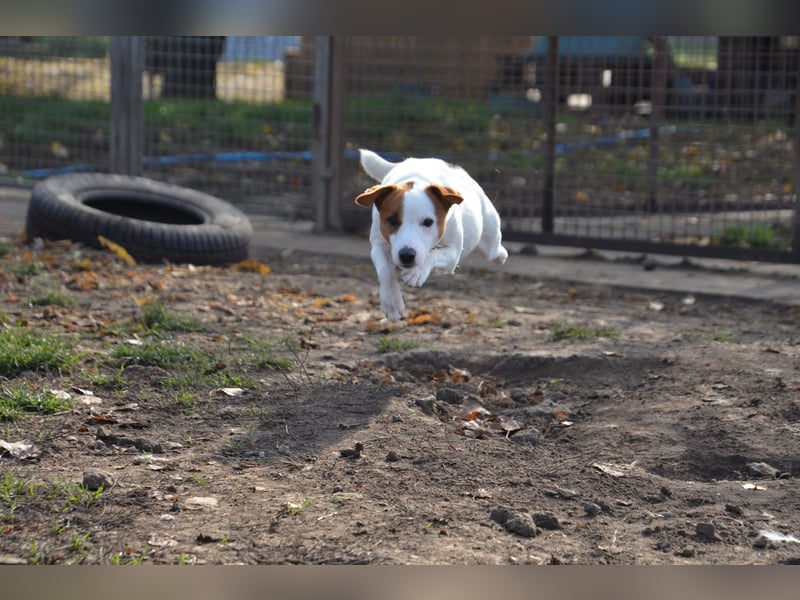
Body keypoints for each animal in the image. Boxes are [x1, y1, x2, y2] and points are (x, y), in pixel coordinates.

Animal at [354, 148, 506, 322]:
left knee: (495, 250)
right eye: (392, 220)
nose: (407, 255)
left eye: (428, 222)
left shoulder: (453, 253)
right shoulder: (378, 244)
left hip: (489, 238)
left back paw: (501, 255)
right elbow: (385, 270)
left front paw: (417, 272)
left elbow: (433, 254)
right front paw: (391, 302)